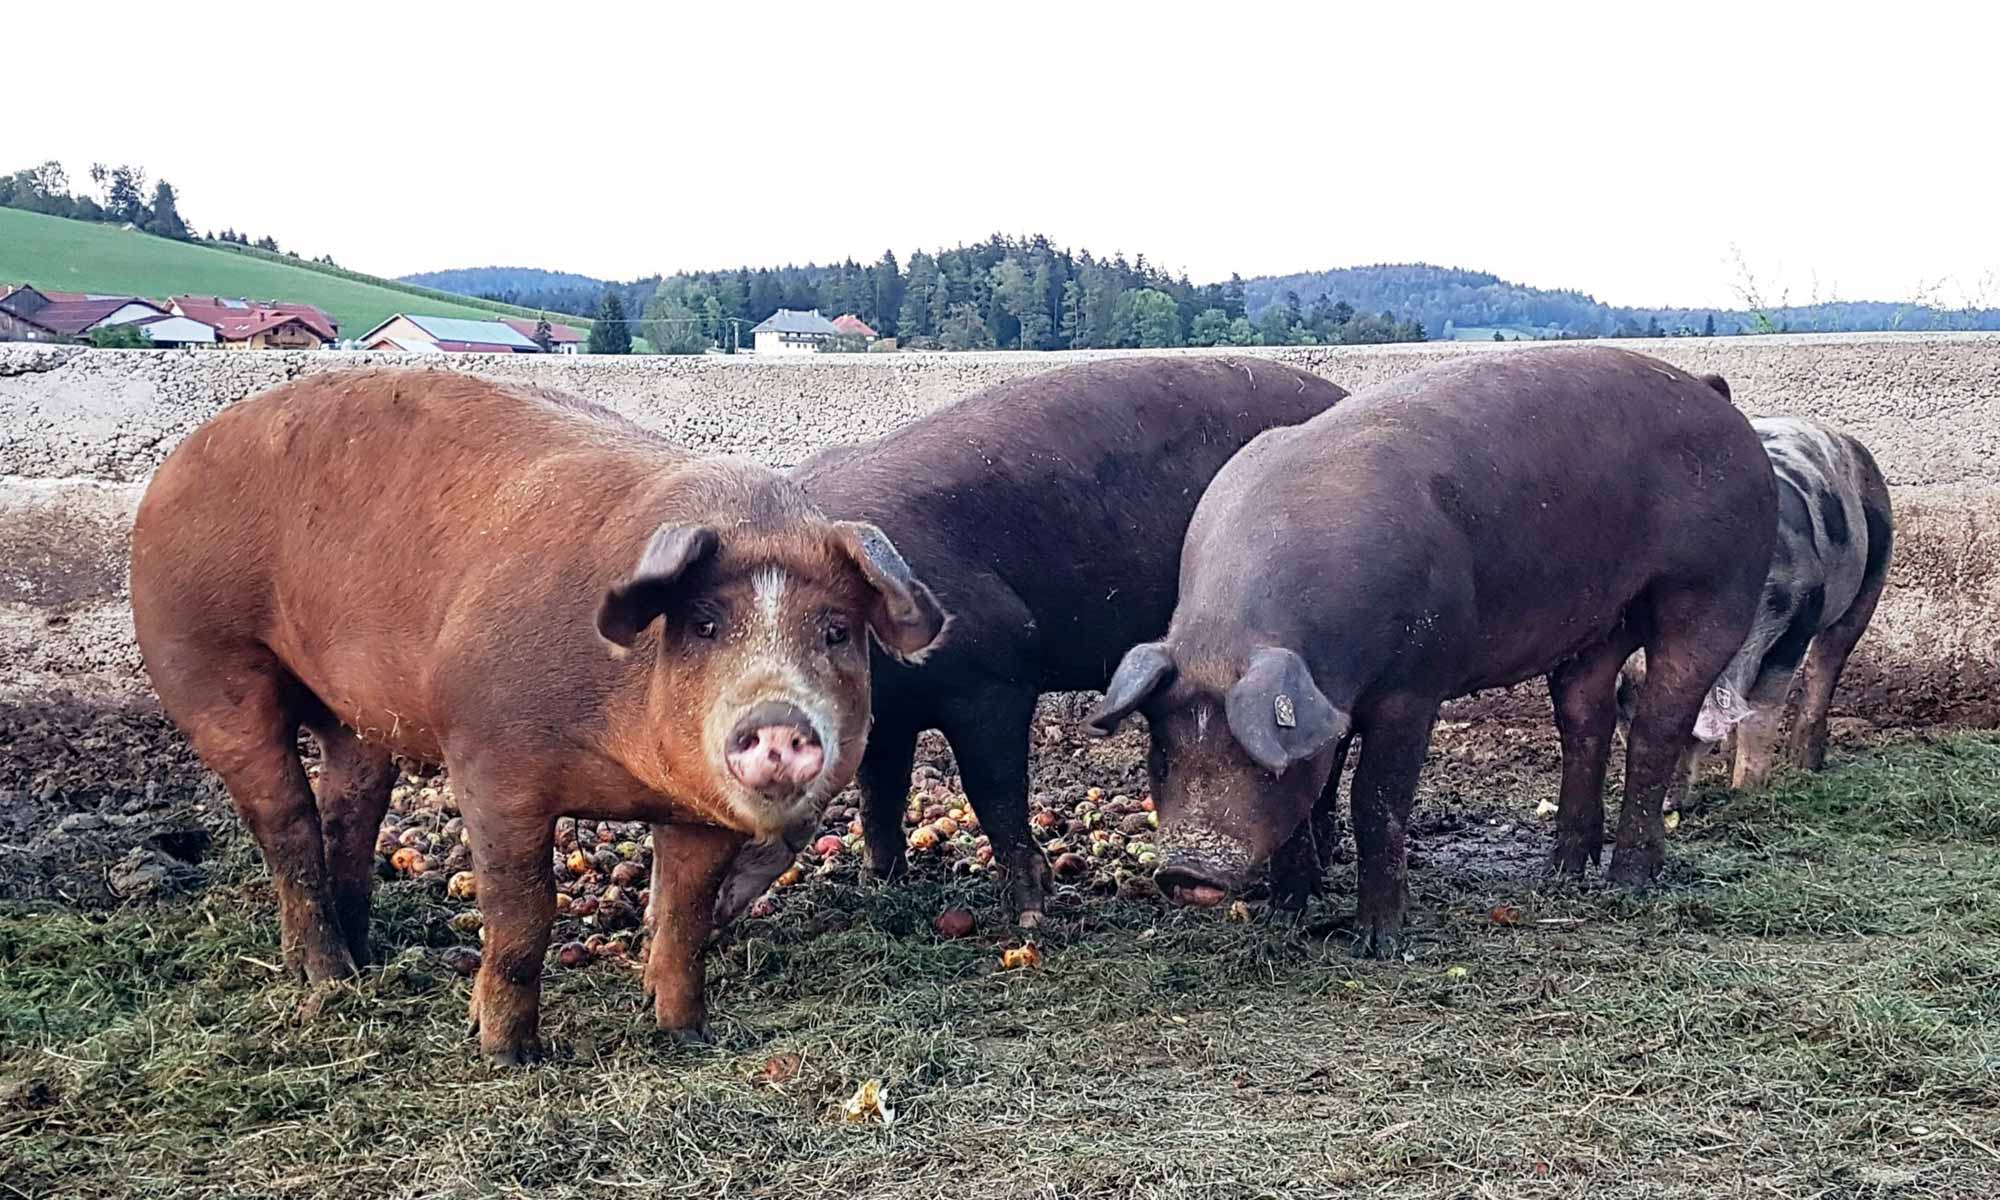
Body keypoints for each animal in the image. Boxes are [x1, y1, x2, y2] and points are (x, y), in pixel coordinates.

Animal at [129, 370, 948, 1064]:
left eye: (835, 630)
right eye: (706, 624)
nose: (778, 719)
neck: (624, 768)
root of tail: (174, 465)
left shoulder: (701, 813)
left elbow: (684, 917)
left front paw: (685, 1034)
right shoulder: (489, 758)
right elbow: (524, 913)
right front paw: (506, 1054)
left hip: (354, 714)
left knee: (350, 807)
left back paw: (368, 960)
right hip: (204, 660)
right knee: (286, 819)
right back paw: (326, 980)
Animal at [712, 352, 1352, 924]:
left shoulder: (995, 676)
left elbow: (994, 793)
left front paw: (1029, 916)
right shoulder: (889, 716)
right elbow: (880, 792)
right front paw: (881, 884)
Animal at [1088, 344, 1776, 956]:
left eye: (1258, 763)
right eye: (1161, 754)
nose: (1188, 870)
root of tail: (1714, 394)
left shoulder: (1414, 686)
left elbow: (1377, 800)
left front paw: (1376, 944)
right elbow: (1310, 801)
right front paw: (1285, 916)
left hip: (1715, 589)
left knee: (1659, 723)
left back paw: (1629, 881)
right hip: (1597, 624)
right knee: (1587, 720)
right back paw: (1559, 873)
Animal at [1616, 412, 1896, 796]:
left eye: (1686, 734)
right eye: (1625, 725)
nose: (1670, 803)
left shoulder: (1798, 621)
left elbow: (1765, 707)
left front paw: (1746, 790)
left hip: (1875, 566)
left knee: (1827, 661)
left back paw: (1804, 763)